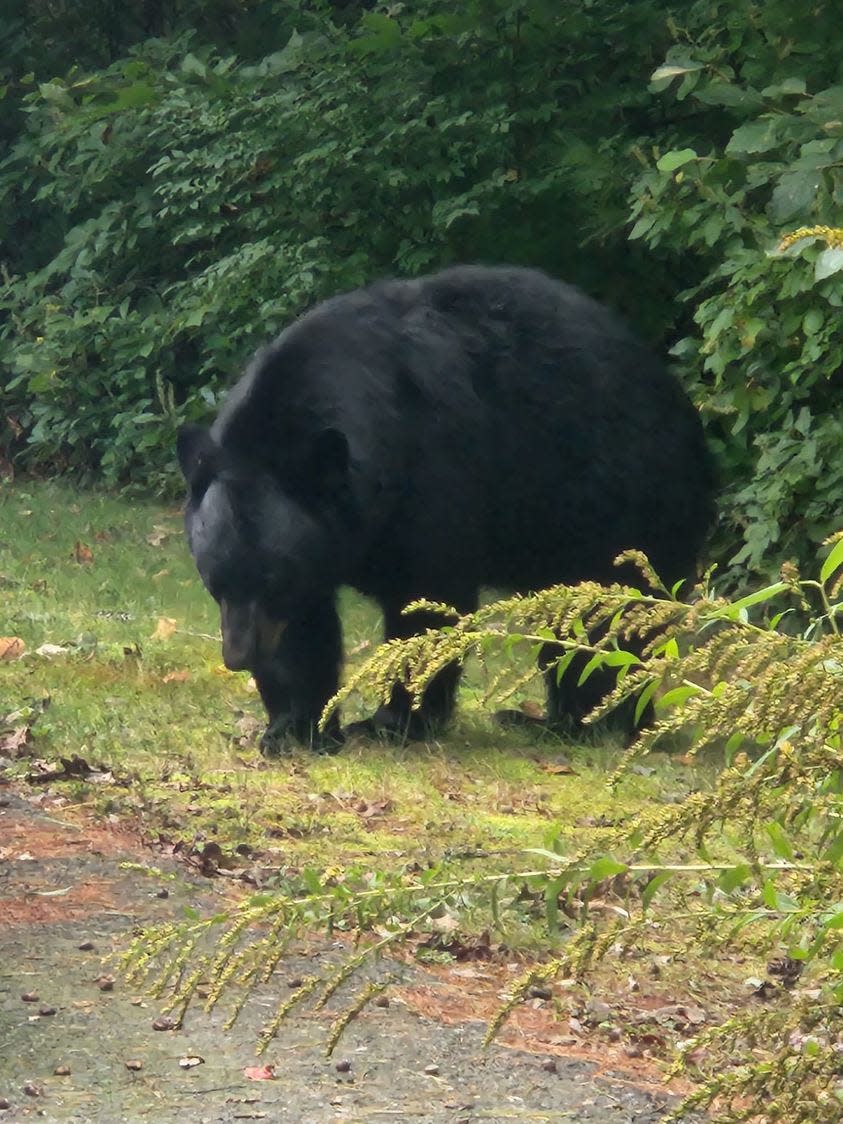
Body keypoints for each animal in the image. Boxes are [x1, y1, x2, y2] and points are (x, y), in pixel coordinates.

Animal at [176, 266, 714, 750]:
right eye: (215, 582)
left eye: (271, 580)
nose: (238, 656)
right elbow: (303, 628)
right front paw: (294, 728)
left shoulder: (432, 477)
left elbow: (425, 602)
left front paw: (392, 722)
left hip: (620, 509)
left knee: (606, 623)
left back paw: (591, 723)